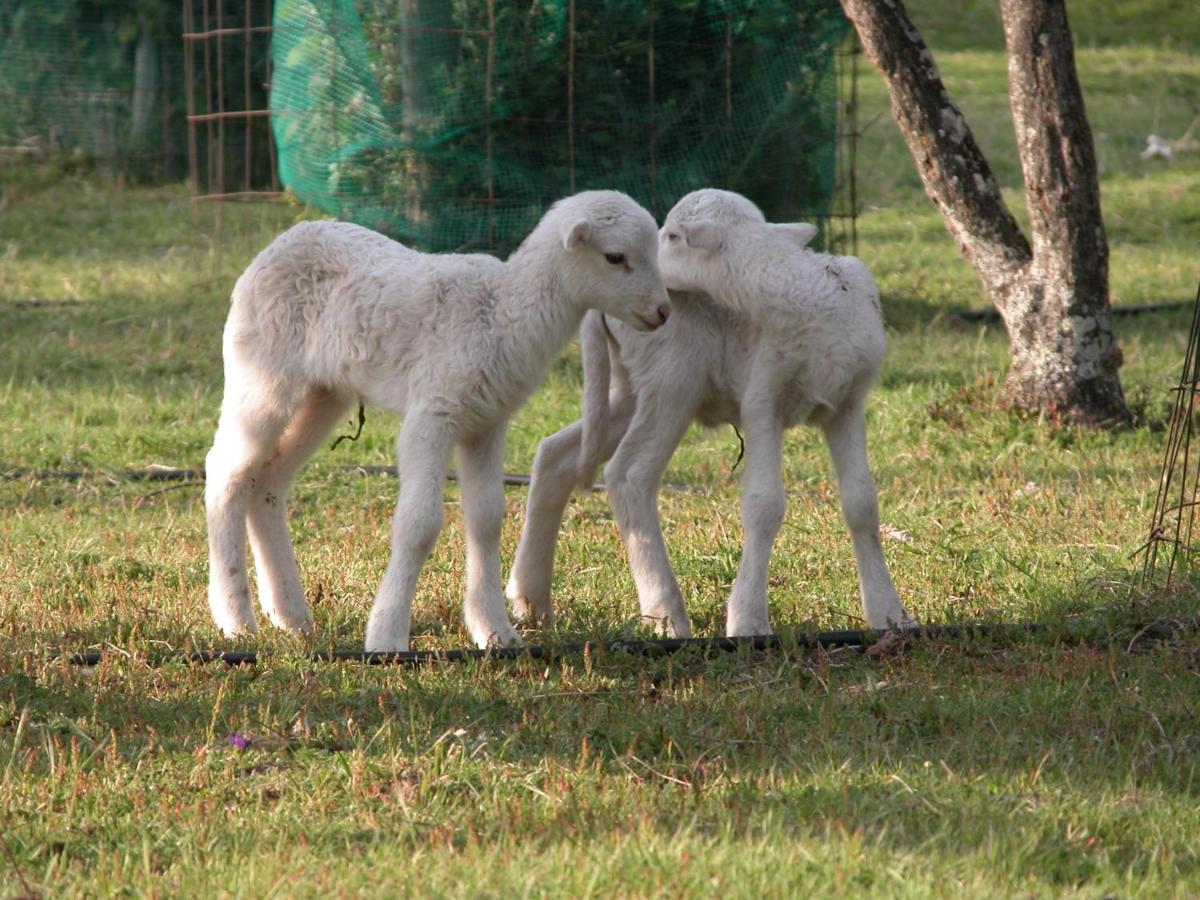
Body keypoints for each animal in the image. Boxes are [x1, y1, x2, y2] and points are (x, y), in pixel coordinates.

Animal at [208, 192, 676, 657]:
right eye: (615, 257)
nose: (663, 311)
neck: (503, 313)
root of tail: (277, 245)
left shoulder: (487, 423)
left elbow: (487, 519)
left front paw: (495, 632)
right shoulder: (432, 414)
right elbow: (419, 523)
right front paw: (388, 638)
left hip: (323, 392)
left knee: (269, 480)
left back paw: (291, 616)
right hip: (261, 371)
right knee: (226, 472)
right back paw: (236, 620)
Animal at [501, 186, 912, 633]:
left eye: (671, 237)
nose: (653, 285)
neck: (809, 293)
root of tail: (596, 306)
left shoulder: (849, 402)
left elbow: (862, 503)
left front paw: (889, 612)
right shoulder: (762, 399)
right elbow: (764, 504)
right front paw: (748, 620)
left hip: (632, 390)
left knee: (556, 453)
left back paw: (530, 599)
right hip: (672, 380)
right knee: (628, 475)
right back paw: (665, 613)